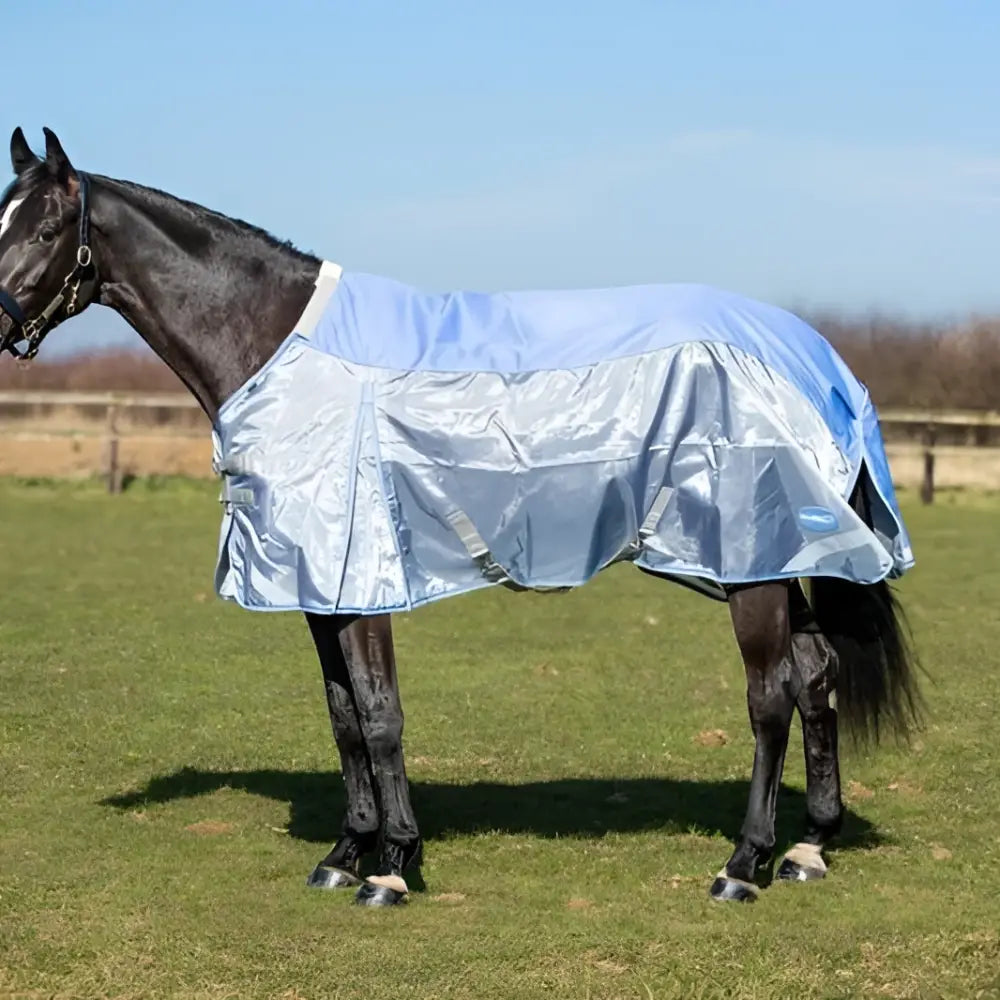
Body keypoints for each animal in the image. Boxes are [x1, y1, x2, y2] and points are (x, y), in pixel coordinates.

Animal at [0, 127, 922, 907]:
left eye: (42, 232)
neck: (280, 347)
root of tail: (815, 357)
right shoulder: (317, 589)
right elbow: (343, 716)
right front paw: (346, 854)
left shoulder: (362, 578)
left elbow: (380, 714)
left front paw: (393, 867)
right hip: (757, 560)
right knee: (815, 673)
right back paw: (808, 848)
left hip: (747, 563)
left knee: (770, 695)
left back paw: (742, 863)